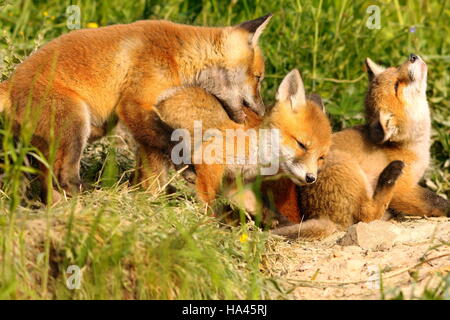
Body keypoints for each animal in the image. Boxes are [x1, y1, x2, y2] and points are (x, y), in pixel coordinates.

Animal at [0, 15, 270, 201]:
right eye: (258, 78)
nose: (263, 112)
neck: (178, 53)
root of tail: (10, 83)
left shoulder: (143, 112)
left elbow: (156, 153)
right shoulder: (133, 104)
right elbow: (172, 140)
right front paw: (186, 169)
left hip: (88, 128)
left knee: (44, 174)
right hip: (76, 124)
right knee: (62, 176)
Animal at [153, 69, 332, 205]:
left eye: (321, 157)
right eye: (301, 144)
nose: (311, 178)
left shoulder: (233, 182)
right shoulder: (209, 158)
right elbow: (209, 202)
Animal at [272, 53, 448, 239]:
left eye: (396, 68)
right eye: (396, 86)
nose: (413, 56)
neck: (408, 146)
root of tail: (318, 214)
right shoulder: (403, 189)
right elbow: (434, 200)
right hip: (348, 166)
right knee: (367, 215)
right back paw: (389, 175)